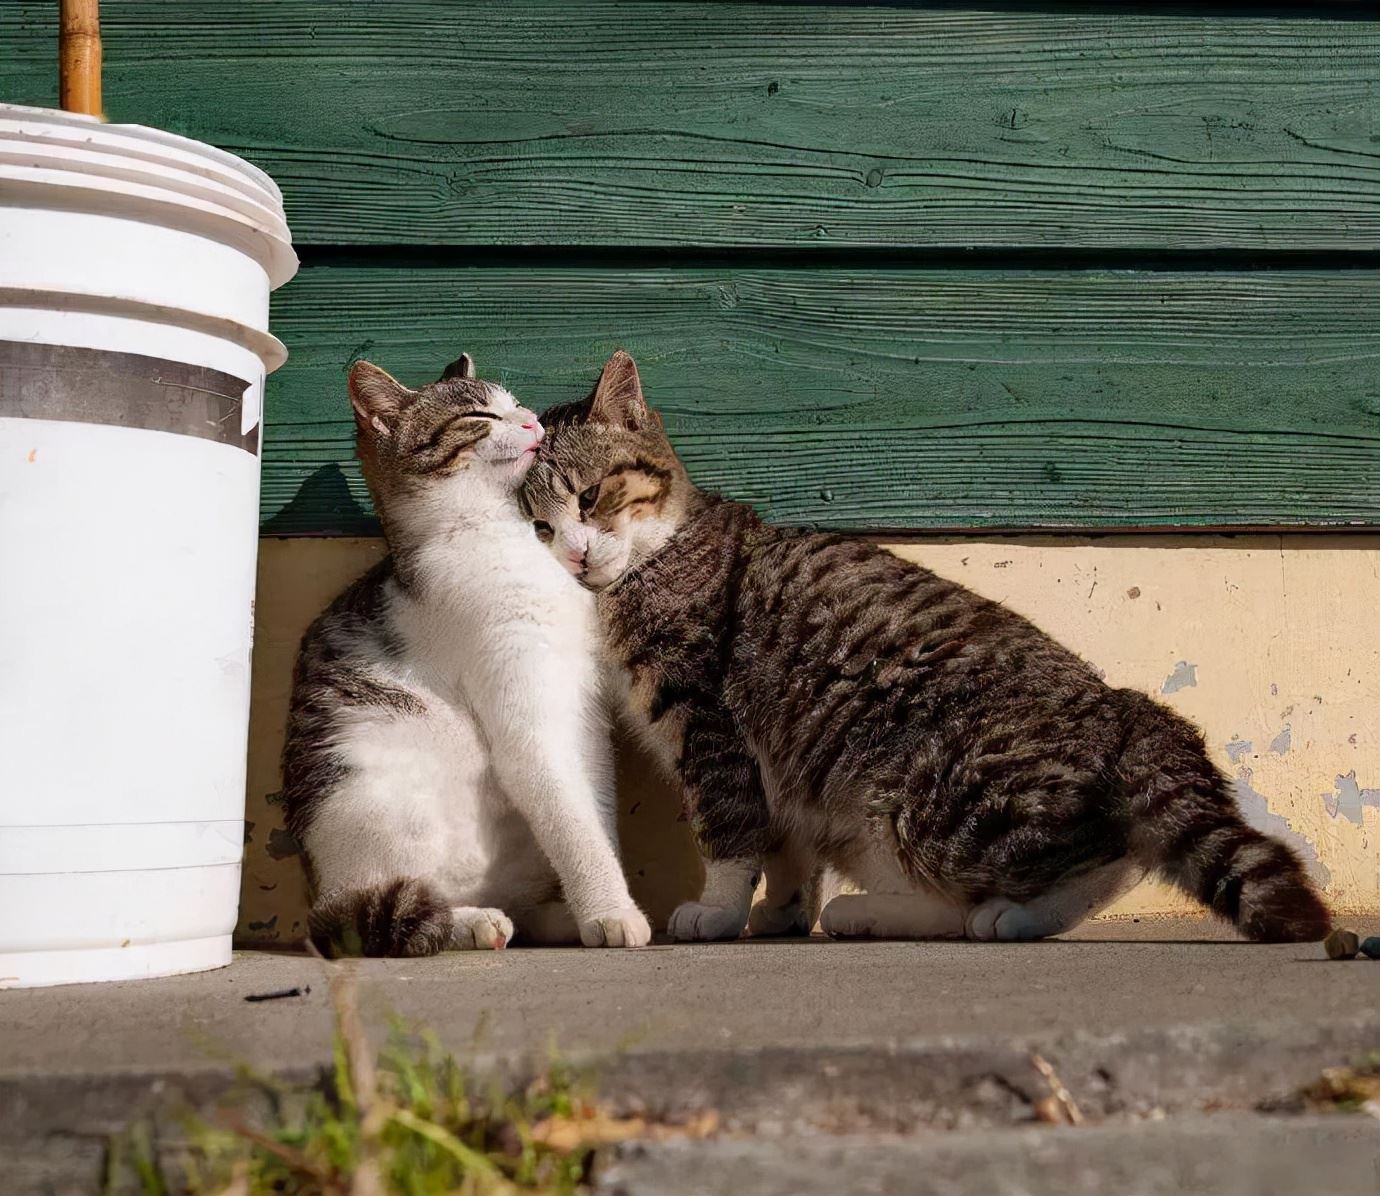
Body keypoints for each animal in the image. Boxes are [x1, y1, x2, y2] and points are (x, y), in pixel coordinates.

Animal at [280, 353, 651, 954]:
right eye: (479, 415)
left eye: (514, 403)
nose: (531, 420)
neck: (499, 533)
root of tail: (317, 889)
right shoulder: (526, 716)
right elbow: (571, 818)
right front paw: (612, 912)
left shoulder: (584, 708)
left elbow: (595, 810)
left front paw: (601, 905)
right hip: (372, 811)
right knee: (380, 914)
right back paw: (470, 922)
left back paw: (548, 919)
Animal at [518, 349, 1324, 943]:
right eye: (537, 530)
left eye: (590, 497)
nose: (574, 557)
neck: (655, 558)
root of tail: (1123, 712)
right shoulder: (765, 759)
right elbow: (784, 843)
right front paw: (782, 910)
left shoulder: (708, 722)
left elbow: (731, 830)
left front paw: (717, 911)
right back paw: (867, 912)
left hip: (928, 799)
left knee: (1093, 864)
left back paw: (1006, 917)